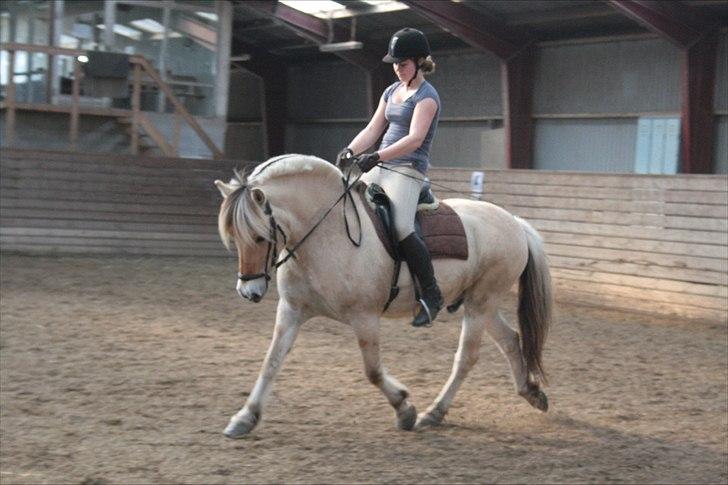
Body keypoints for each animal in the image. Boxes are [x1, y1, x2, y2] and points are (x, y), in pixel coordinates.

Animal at [215, 155, 552, 438]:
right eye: (234, 237)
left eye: (260, 237)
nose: (249, 292)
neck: (327, 233)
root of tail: (514, 222)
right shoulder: (292, 310)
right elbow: (271, 362)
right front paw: (245, 418)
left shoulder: (364, 317)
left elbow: (373, 371)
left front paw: (405, 409)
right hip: (480, 303)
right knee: (510, 339)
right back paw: (532, 393)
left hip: (480, 304)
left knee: (466, 358)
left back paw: (434, 413)